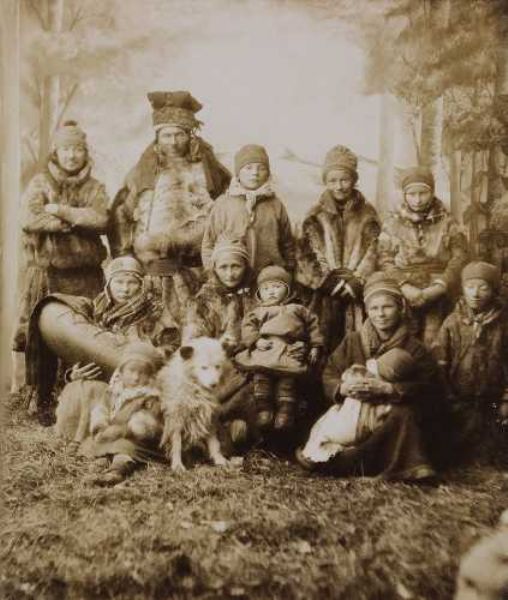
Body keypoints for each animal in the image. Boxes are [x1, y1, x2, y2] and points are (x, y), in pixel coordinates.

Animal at [158, 337, 229, 472]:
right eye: (204, 367)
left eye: (217, 366)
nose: (213, 384)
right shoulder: (175, 419)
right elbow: (177, 443)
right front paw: (177, 465)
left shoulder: (208, 416)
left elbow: (214, 442)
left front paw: (219, 459)